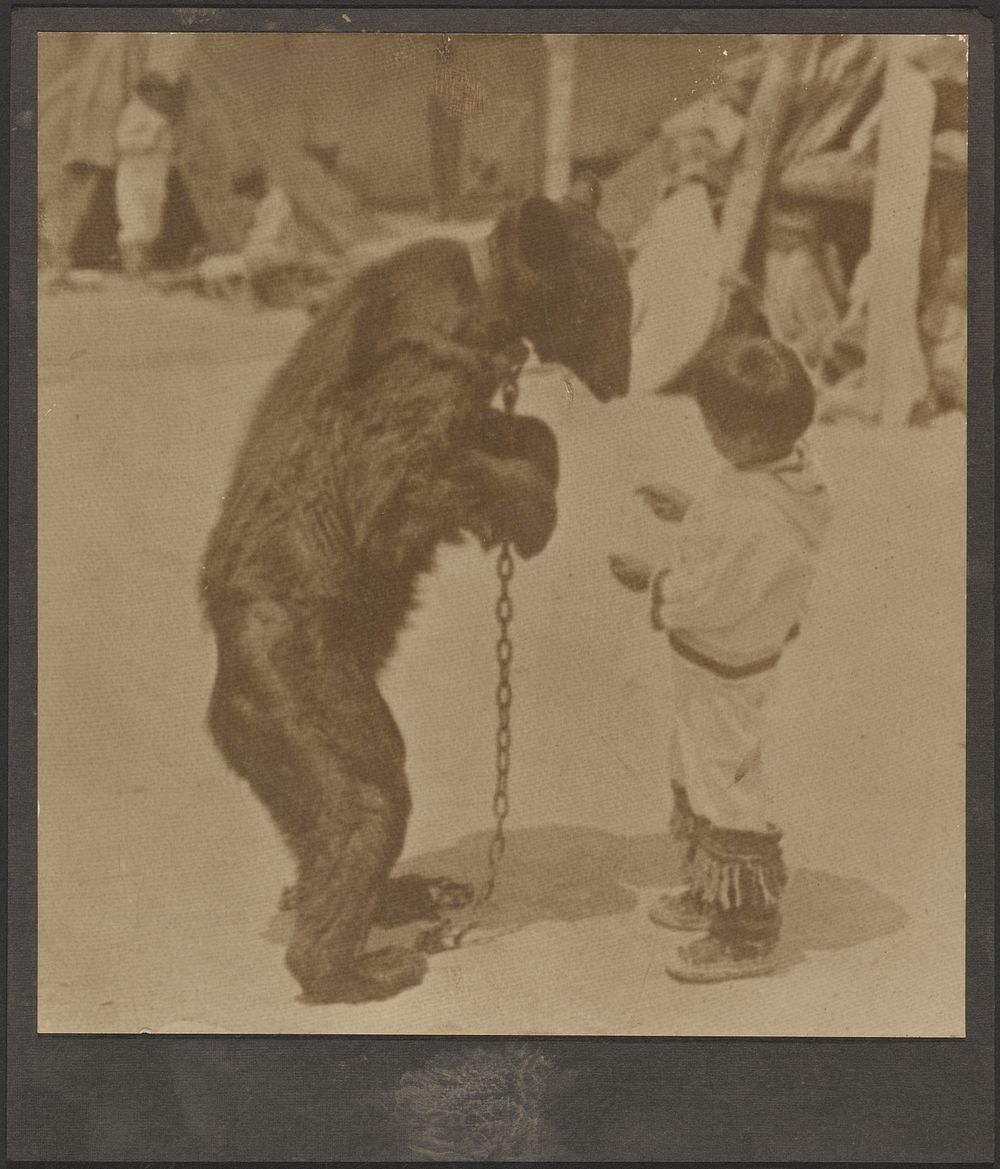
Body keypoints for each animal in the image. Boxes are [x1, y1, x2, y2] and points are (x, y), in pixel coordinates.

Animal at [199, 196, 631, 1000]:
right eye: (612, 295)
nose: (623, 374)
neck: (489, 300)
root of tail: (223, 689)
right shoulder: (423, 367)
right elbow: (411, 473)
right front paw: (530, 514)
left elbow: (518, 427)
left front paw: (532, 464)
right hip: (300, 680)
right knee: (365, 799)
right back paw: (359, 964)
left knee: (329, 816)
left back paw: (390, 900)